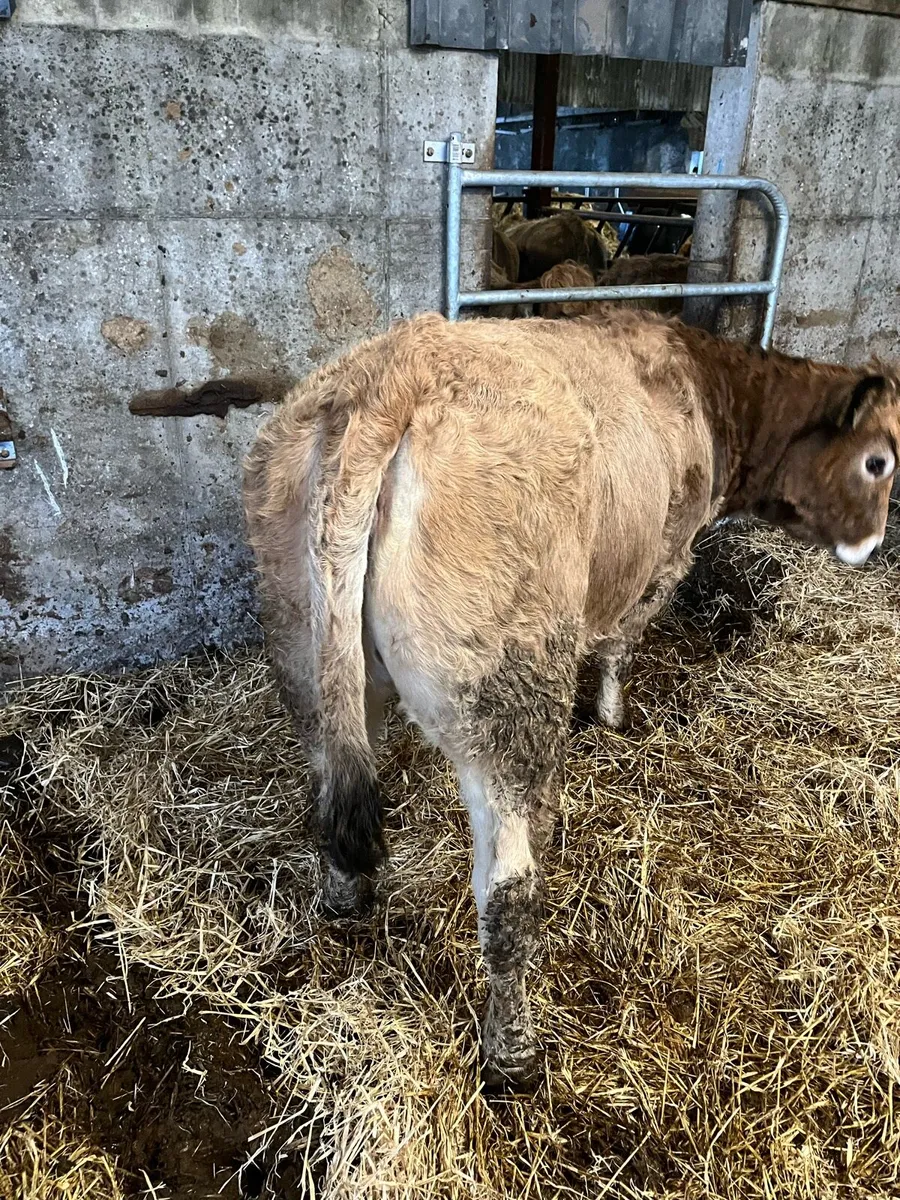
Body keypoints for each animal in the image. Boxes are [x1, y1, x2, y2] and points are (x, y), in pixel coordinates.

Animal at [243, 310, 899, 1088]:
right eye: (879, 463)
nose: (872, 543)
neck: (708, 388)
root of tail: (392, 376)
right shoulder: (658, 563)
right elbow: (618, 648)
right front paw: (611, 718)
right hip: (506, 694)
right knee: (508, 887)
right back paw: (514, 1049)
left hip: (305, 651)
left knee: (332, 792)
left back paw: (346, 901)